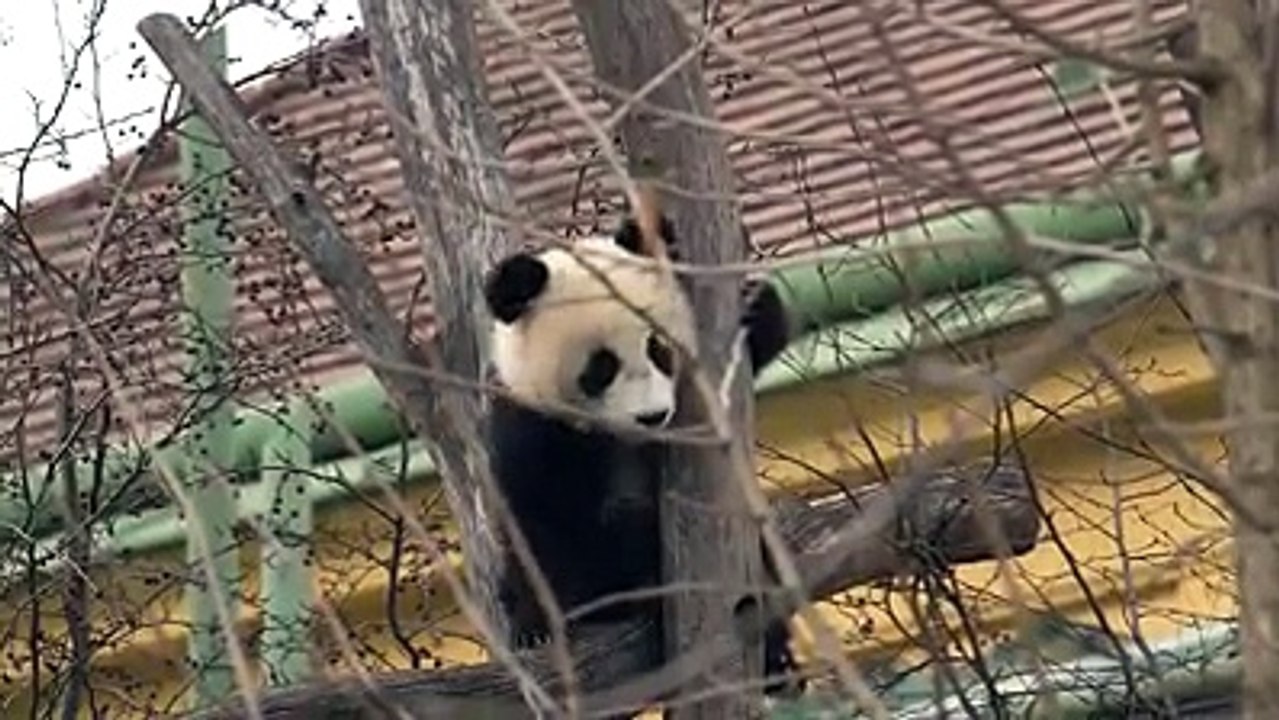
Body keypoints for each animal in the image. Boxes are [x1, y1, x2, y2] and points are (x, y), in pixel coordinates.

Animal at [481, 197, 801, 699]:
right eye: (601, 367)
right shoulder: (531, 426)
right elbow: (538, 520)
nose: (652, 417)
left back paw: (775, 658)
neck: (620, 439)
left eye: (659, 349)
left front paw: (755, 306)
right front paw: (537, 624)